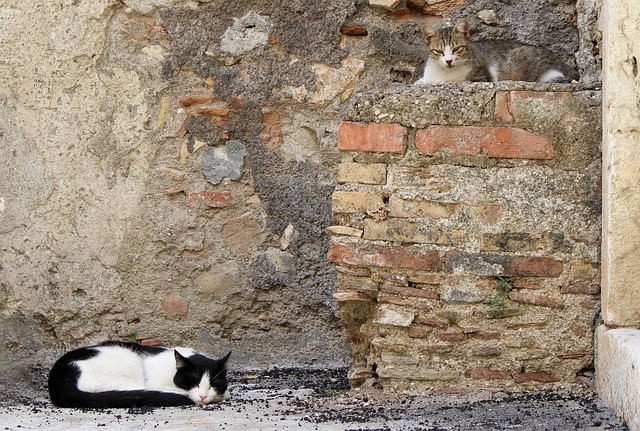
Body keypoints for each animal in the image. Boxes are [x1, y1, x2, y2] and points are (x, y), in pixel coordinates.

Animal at [418, 19, 576, 85]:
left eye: (457, 49)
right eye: (439, 51)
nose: (449, 61)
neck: (445, 72)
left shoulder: (480, 77)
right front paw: (420, 81)